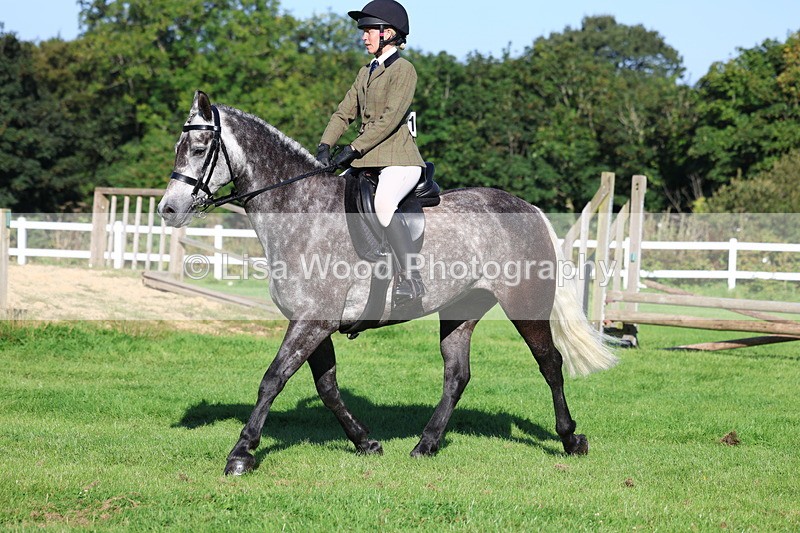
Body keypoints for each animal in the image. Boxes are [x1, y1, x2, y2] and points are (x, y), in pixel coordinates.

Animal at [158, 91, 617, 476]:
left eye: (199, 148)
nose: (168, 209)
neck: (301, 210)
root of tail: (527, 207)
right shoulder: (312, 323)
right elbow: (327, 387)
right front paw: (366, 443)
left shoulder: (312, 321)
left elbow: (272, 379)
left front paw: (242, 453)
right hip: (460, 310)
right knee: (457, 375)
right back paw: (425, 445)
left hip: (526, 305)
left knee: (550, 364)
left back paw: (570, 438)